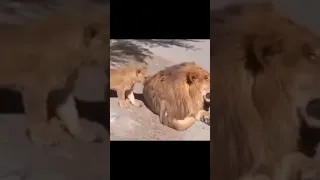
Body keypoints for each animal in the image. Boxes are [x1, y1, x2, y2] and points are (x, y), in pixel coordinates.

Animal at [0, 0, 110, 146]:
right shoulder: (35, 88)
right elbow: (39, 116)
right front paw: (42, 138)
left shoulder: (62, 91)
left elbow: (72, 115)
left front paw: (83, 135)